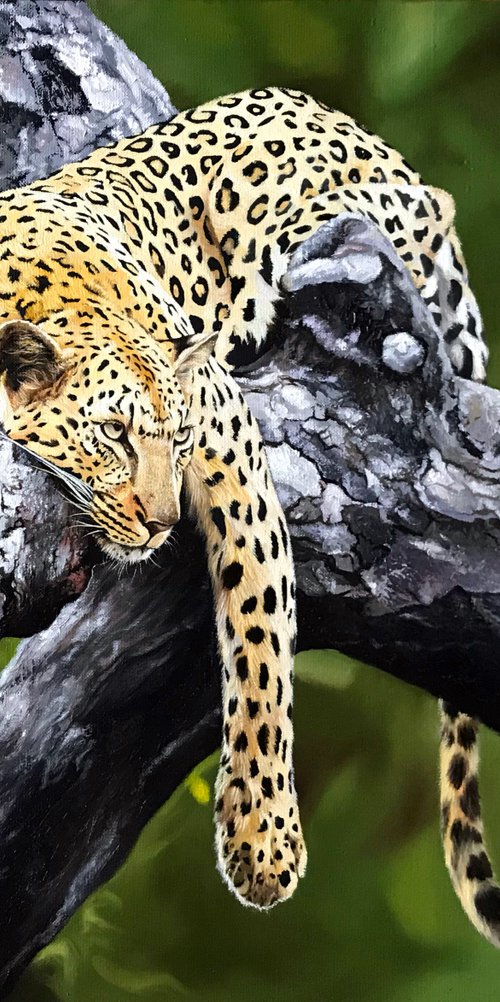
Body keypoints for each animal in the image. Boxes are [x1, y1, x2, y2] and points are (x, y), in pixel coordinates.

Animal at [0, 86, 494, 935]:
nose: (162, 523)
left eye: (177, 436)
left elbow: (260, 625)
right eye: (112, 435)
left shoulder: (226, 431)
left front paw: (262, 841)